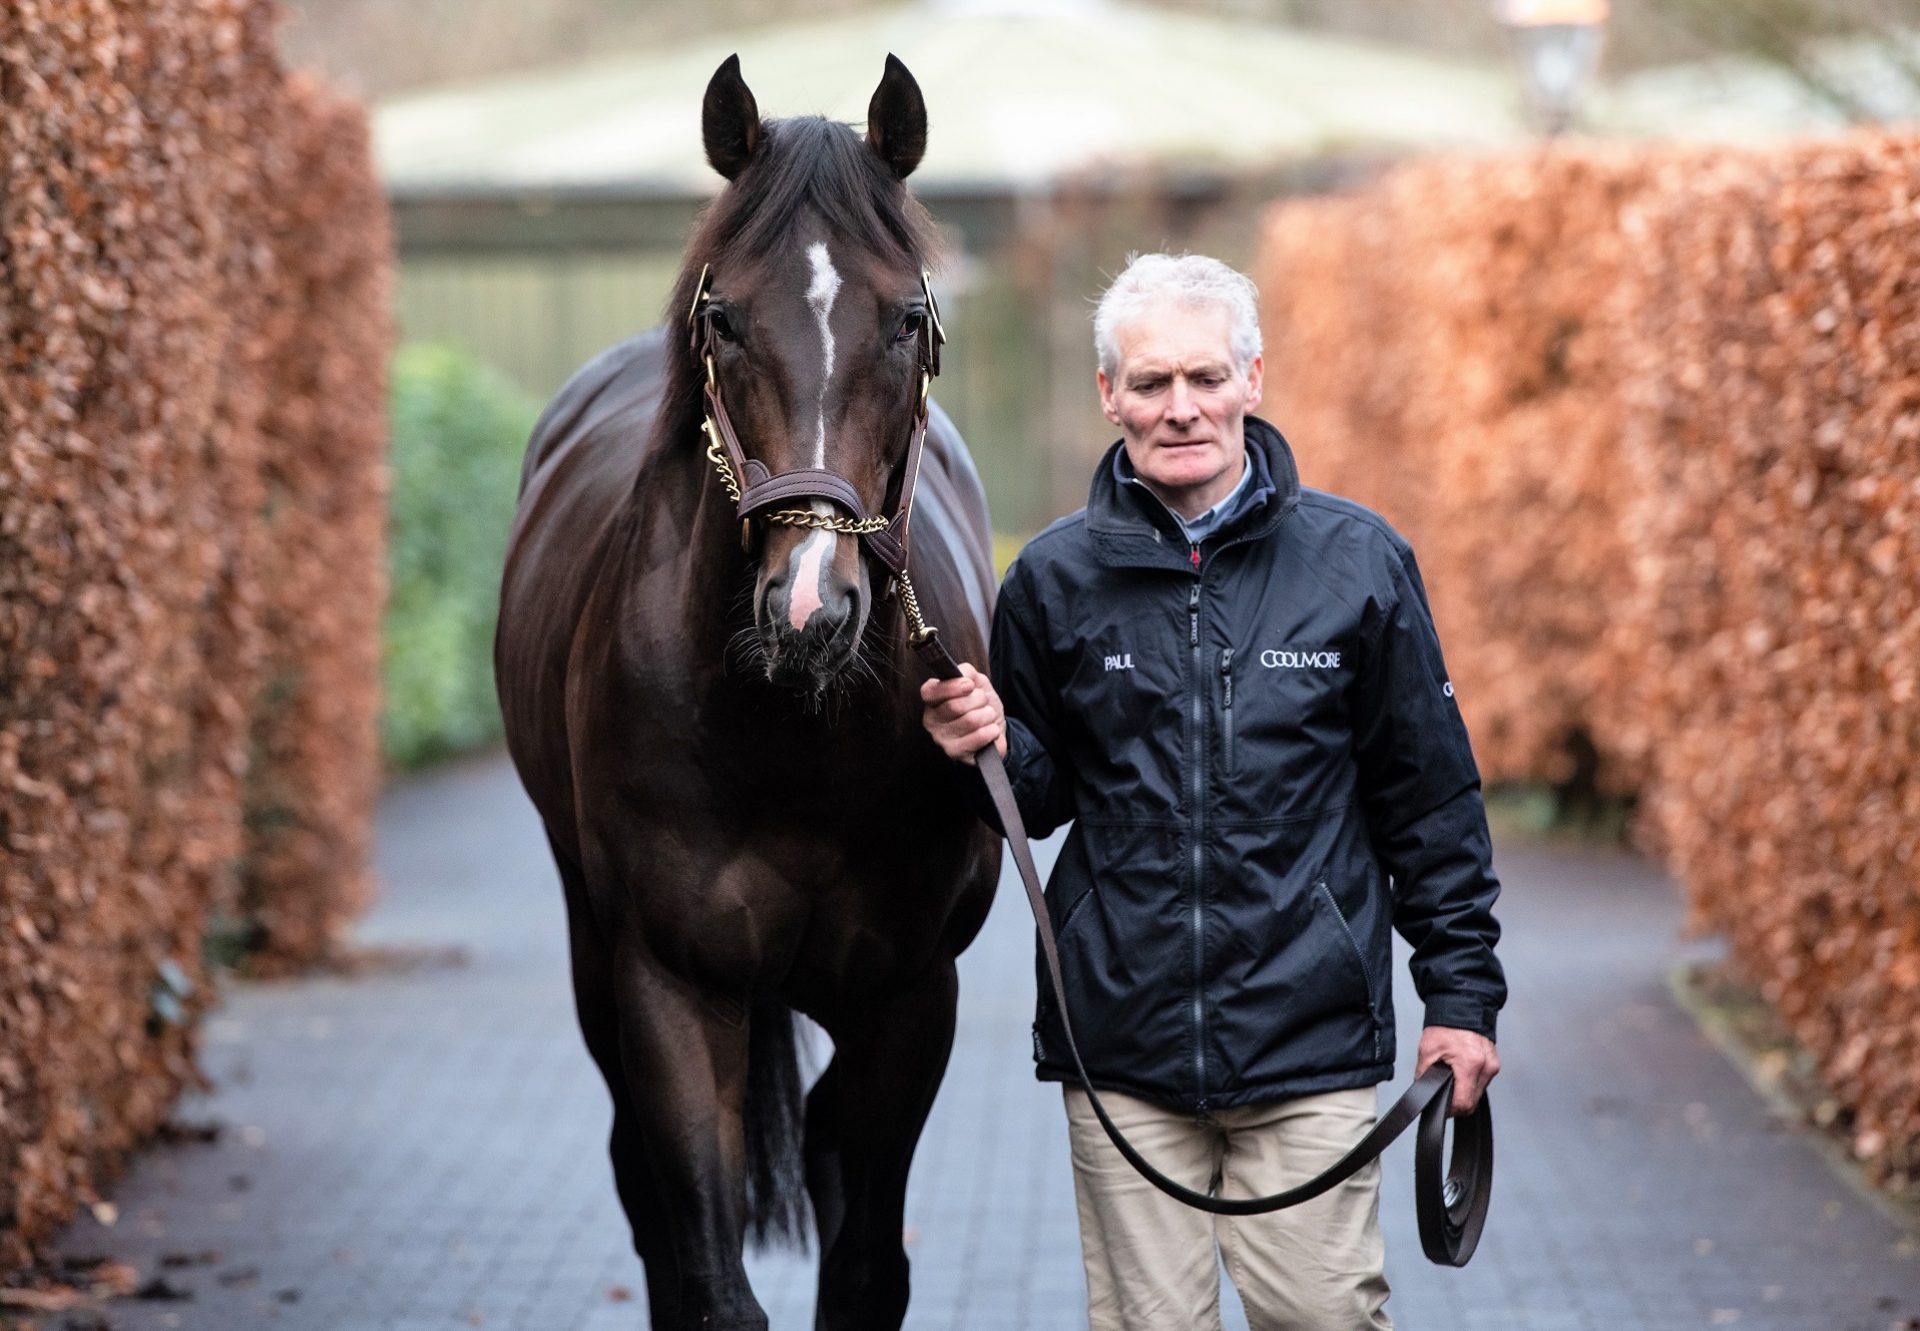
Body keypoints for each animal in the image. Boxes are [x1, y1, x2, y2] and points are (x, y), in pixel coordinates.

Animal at [495, 54, 998, 1329]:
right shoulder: (671, 985)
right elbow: (712, 1276)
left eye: (908, 320)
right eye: (724, 318)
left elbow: (865, 1265)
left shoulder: (910, 997)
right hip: (594, 952)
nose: (810, 605)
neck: (797, 742)